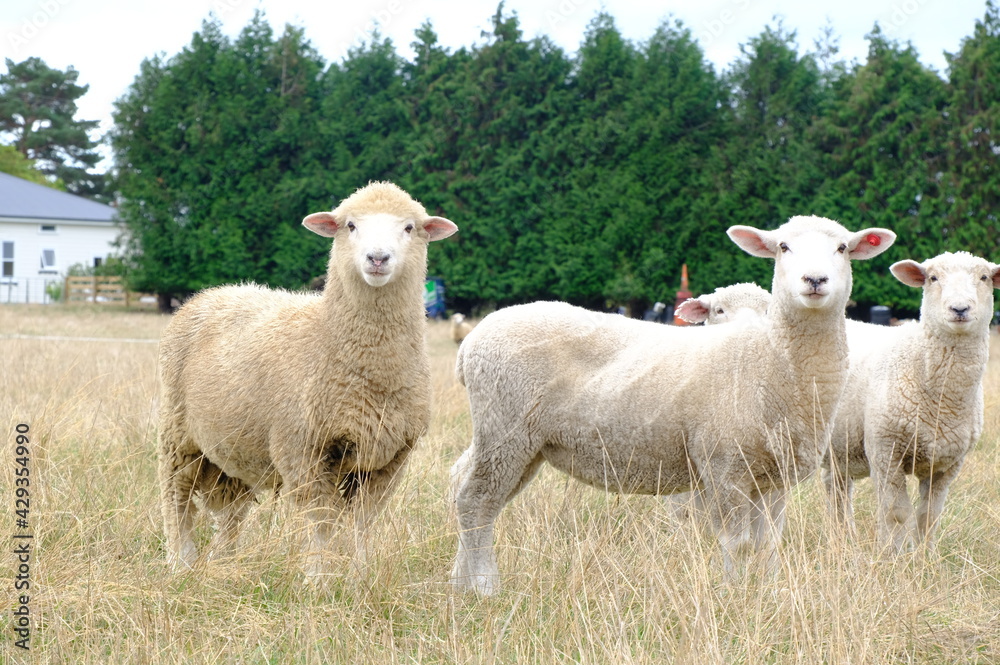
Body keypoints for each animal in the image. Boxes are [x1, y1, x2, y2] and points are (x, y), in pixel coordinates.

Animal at [156, 181, 458, 575]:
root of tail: (211, 292)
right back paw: (181, 562)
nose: (377, 259)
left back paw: (226, 563)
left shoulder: (390, 458)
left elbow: (362, 522)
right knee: (175, 499)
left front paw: (359, 574)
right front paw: (319, 577)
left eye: (409, 227)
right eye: (350, 225)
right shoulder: (302, 449)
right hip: (178, 434)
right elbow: (320, 520)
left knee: (232, 511)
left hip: (235, 446)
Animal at [449, 216, 895, 594]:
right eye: (782, 246)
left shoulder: (773, 474)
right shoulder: (724, 465)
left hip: (522, 443)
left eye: (842, 247)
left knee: (472, 495)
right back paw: (485, 588)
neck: (767, 358)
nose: (814, 280)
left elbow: (767, 542)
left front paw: (767, 592)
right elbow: (736, 543)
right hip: (505, 429)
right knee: (476, 502)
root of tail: (472, 340)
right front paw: (733, 596)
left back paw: (460, 582)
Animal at [823, 251, 1000, 552]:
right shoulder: (885, 451)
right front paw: (893, 553)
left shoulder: (947, 464)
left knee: (837, 491)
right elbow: (896, 511)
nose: (960, 309)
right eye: (933, 278)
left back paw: (843, 539)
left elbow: (929, 514)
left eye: (984, 277)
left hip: (839, 446)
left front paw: (925, 555)